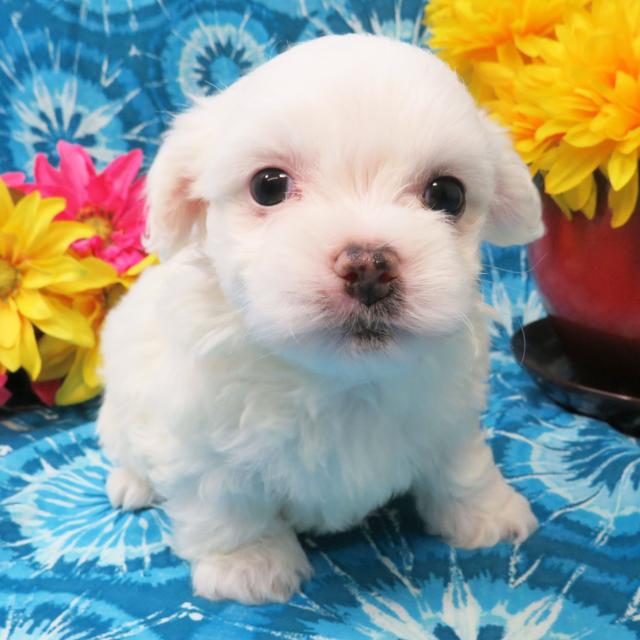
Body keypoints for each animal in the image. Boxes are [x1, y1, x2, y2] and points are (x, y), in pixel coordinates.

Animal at [97, 35, 544, 604]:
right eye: (268, 186)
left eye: (447, 194)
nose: (370, 266)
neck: (339, 382)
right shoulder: (198, 437)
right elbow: (225, 503)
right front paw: (249, 563)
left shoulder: (450, 412)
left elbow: (462, 466)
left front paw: (487, 514)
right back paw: (132, 483)